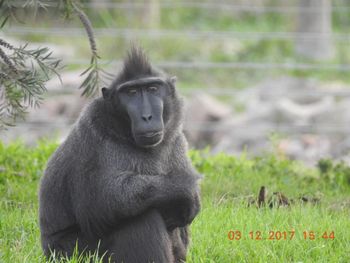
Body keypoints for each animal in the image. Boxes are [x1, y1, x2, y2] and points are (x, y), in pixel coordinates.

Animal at [39, 47, 201, 263]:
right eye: (131, 93)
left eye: (152, 89)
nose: (147, 116)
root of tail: (48, 249)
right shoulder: (94, 133)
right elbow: (99, 203)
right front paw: (184, 187)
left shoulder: (175, 138)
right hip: (74, 252)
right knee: (140, 215)